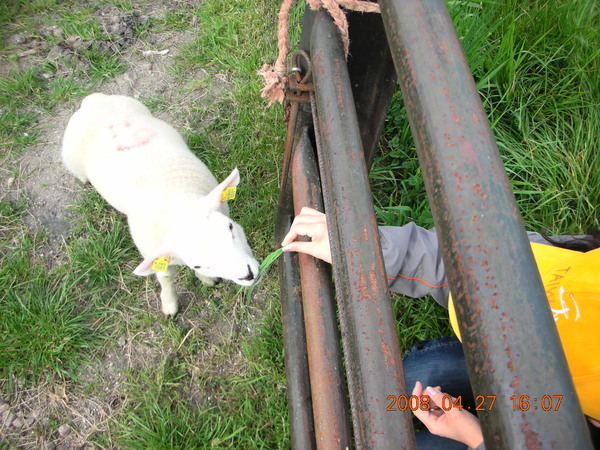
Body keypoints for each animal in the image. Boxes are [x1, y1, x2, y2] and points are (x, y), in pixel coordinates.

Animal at [62, 92, 258, 316]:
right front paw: (170, 305)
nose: (248, 275)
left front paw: (207, 281)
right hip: (70, 157)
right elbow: (165, 278)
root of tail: (92, 100)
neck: (175, 200)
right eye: (198, 265)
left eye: (231, 227)